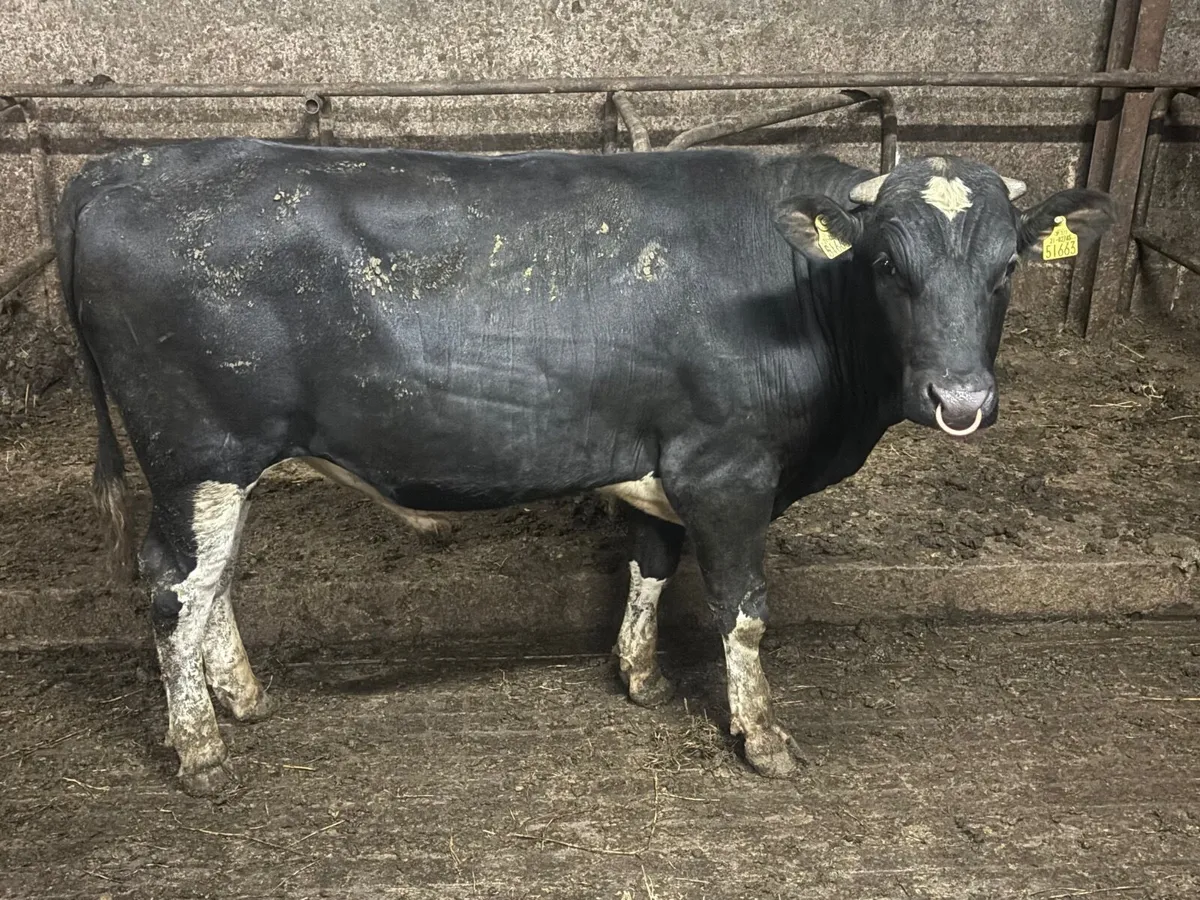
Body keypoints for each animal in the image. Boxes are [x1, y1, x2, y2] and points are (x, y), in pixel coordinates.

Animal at [56, 138, 1113, 795]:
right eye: (889, 264)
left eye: (1008, 268)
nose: (961, 401)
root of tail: (122, 164)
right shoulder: (728, 468)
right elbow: (742, 609)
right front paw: (760, 736)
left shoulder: (660, 457)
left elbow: (650, 565)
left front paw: (639, 677)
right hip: (198, 450)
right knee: (174, 583)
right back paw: (199, 750)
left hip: (219, 466)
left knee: (213, 578)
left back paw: (240, 697)